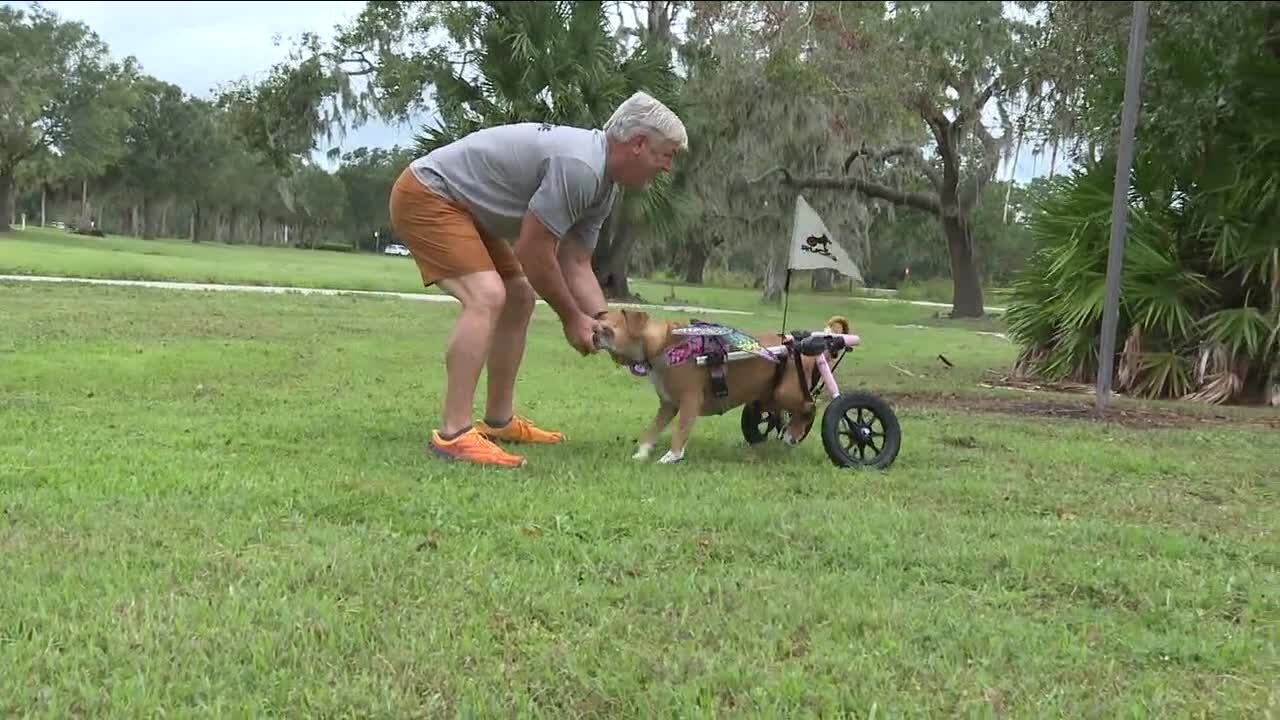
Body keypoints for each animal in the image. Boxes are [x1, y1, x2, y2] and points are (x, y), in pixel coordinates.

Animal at [596, 311, 849, 461]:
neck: (663, 344)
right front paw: (642, 452)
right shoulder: (668, 405)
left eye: (608, 329)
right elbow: (652, 429)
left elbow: (680, 430)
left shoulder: (689, 402)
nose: (593, 333)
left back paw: (794, 432)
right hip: (771, 394)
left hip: (787, 392)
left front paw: (672, 456)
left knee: (810, 407)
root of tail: (804, 344)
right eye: (597, 325)